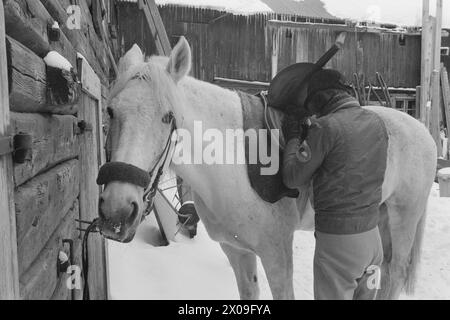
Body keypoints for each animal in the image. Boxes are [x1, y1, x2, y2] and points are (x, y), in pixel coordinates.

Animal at [99, 37, 436, 300]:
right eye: (111, 111)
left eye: (168, 116)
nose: (117, 209)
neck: (232, 165)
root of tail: (422, 130)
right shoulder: (236, 251)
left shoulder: (277, 256)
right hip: (378, 218)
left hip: (403, 219)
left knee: (394, 273)